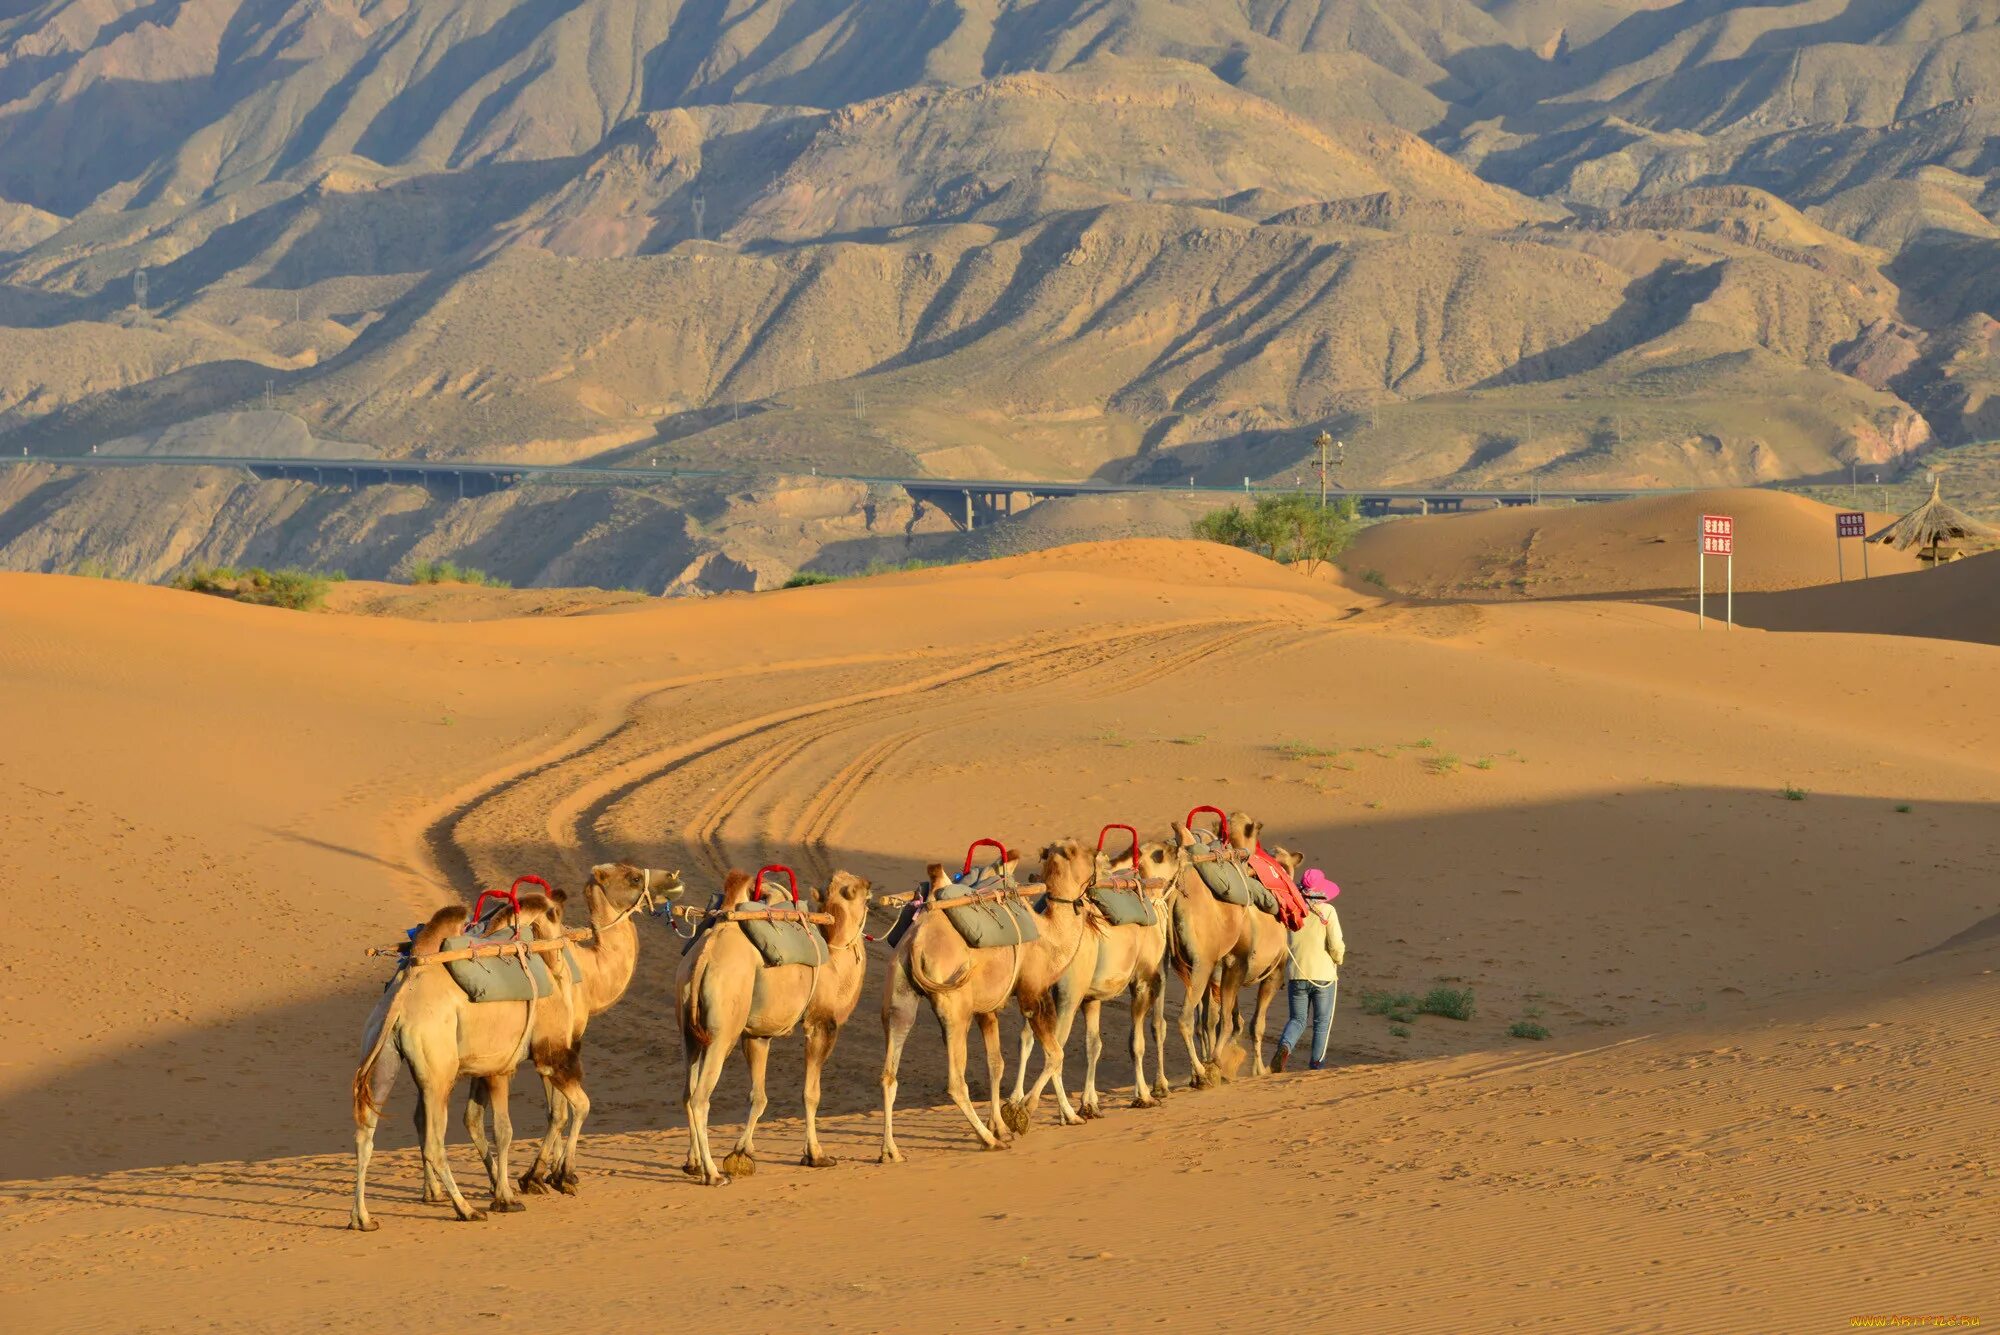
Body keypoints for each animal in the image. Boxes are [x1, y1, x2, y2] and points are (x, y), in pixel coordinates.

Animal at [344, 891, 576, 1223]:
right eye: (555, 914)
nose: (564, 944)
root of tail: (401, 999)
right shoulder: (504, 1065)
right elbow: (504, 1130)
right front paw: (507, 1197)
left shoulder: (483, 1066)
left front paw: (505, 1189)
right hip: (438, 1071)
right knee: (433, 1142)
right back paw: (465, 1208)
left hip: (381, 1052)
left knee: (365, 1132)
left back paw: (362, 1218)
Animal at [676, 871, 872, 1183]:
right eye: (858, 891)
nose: (871, 884)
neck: (834, 960)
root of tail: (705, 953)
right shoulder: (821, 1025)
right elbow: (811, 1094)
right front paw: (816, 1155)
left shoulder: (758, 1034)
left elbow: (758, 1096)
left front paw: (742, 1152)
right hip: (723, 1027)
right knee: (699, 1098)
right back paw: (713, 1174)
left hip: (688, 1024)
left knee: (686, 1091)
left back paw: (693, 1163)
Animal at [880, 839, 1096, 1159]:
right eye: (1087, 853)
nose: (1101, 857)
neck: (1050, 937)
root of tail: (916, 942)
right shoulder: (1033, 994)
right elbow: (1056, 1053)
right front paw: (1021, 1113)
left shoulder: (987, 1009)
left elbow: (997, 1065)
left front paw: (1004, 1125)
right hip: (955, 1007)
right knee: (956, 1082)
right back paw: (987, 1141)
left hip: (899, 993)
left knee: (890, 1070)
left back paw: (890, 1151)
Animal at [1008, 835, 1176, 1127]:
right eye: (1161, 853)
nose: (1177, 847)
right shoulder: (1142, 982)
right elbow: (1136, 1043)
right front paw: (1144, 1095)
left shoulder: (1091, 997)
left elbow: (1093, 1044)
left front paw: (1090, 1103)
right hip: (1068, 994)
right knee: (1056, 1048)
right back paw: (1051, 1111)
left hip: (1039, 990)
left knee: (1028, 1038)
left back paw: (1016, 1101)